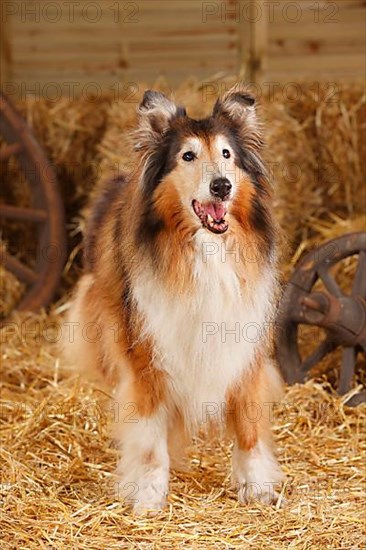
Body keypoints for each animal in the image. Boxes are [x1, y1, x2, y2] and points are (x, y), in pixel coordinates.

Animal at [64, 88, 284, 516]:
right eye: (187, 156)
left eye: (227, 153)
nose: (221, 186)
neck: (205, 251)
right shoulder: (147, 354)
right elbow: (149, 437)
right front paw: (148, 498)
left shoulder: (244, 345)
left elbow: (248, 426)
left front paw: (258, 489)